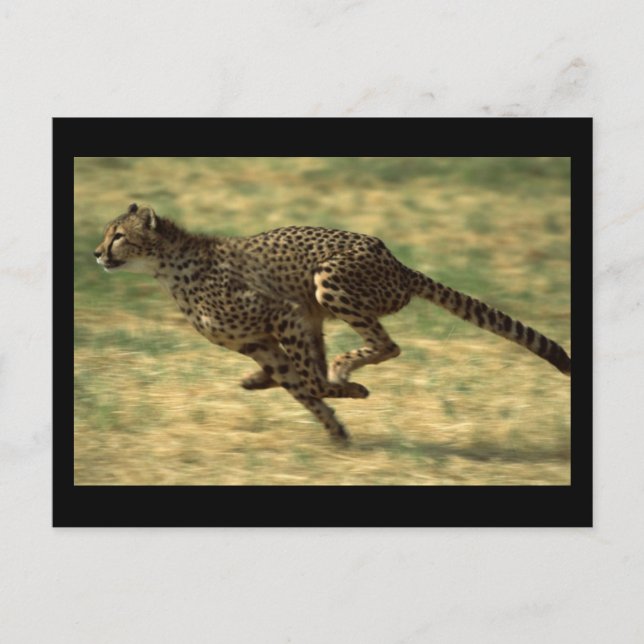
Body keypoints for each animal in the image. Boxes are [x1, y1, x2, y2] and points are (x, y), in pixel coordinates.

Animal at [94, 203, 571, 441]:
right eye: (106, 233)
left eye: (119, 236)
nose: (97, 253)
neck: (168, 266)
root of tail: (397, 263)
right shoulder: (259, 342)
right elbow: (302, 386)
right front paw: (336, 429)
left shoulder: (282, 314)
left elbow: (311, 382)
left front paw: (350, 392)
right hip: (317, 310)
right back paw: (273, 380)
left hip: (329, 283)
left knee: (387, 346)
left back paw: (344, 369)